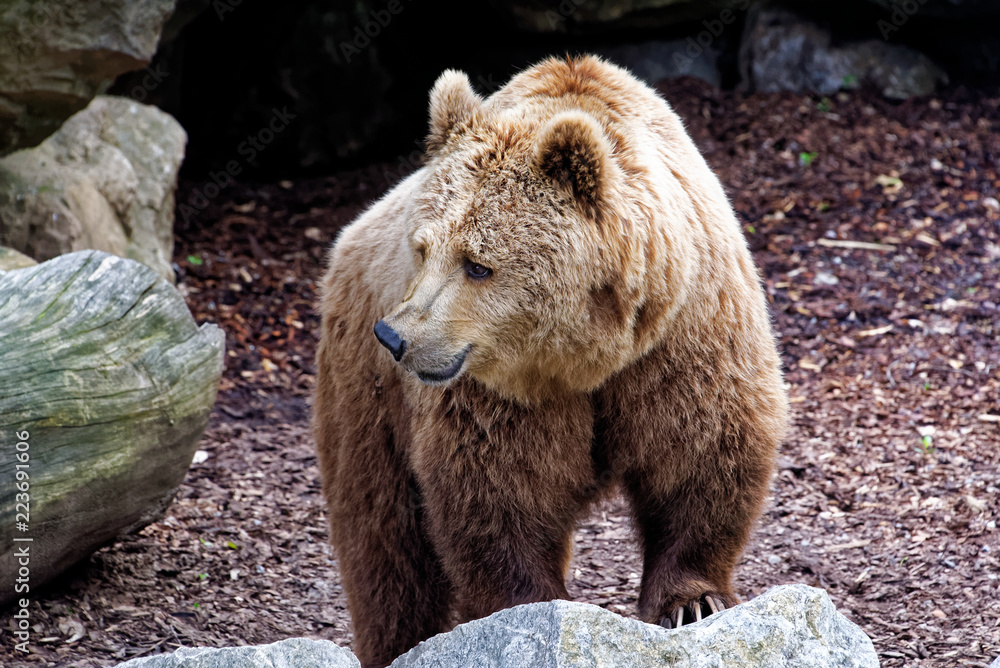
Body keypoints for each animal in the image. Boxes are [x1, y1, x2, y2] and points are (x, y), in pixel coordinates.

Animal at [313, 55, 788, 668]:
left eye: (478, 264)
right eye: (422, 249)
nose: (396, 336)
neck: (589, 354)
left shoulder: (683, 337)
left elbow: (701, 452)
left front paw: (692, 601)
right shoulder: (498, 392)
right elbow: (497, 491)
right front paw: (529, 609)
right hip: (366, 393)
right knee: (384, 537)